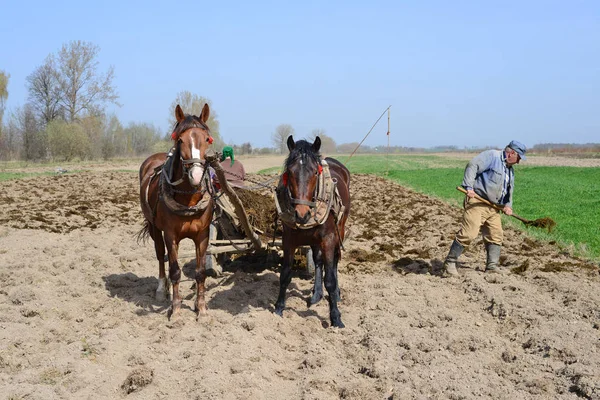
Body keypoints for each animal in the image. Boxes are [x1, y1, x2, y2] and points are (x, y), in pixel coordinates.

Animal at [138, 104, 216, 318]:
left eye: (207, 138)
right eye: (180, 140)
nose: (196, 175)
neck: (188, 200)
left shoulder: (202, 235)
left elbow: (200, 272)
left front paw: (201, 309)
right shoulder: (170, 234)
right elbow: (174, 271)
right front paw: (176, 309)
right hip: (154, 227)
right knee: (160, 256)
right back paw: (161, 290)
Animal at [276, 136, 352, 326]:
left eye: (315, 173)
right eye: (290, 172)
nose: (301, 214)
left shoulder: (329, 238)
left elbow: (330, 279)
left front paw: (335, 317)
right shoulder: (288, 239)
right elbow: (285, 274)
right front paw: (278, 308)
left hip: (340, 228)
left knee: (335, 259)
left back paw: (336, 295)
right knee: (318, 261)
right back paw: (316, 294)